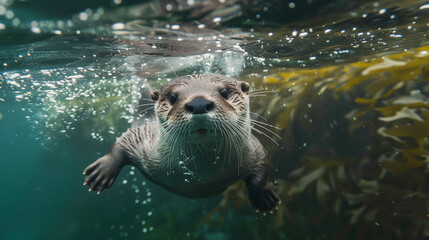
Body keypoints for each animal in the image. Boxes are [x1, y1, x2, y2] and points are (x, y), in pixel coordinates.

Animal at [83, 73, 280, 212]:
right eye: (172, 97)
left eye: (224, 92)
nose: (199, 103)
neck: (206, 173)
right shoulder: (145, 143)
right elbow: (123, 141)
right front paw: (102, 171)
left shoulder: (253, 150)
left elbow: (262, 164)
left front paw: (264, 198)